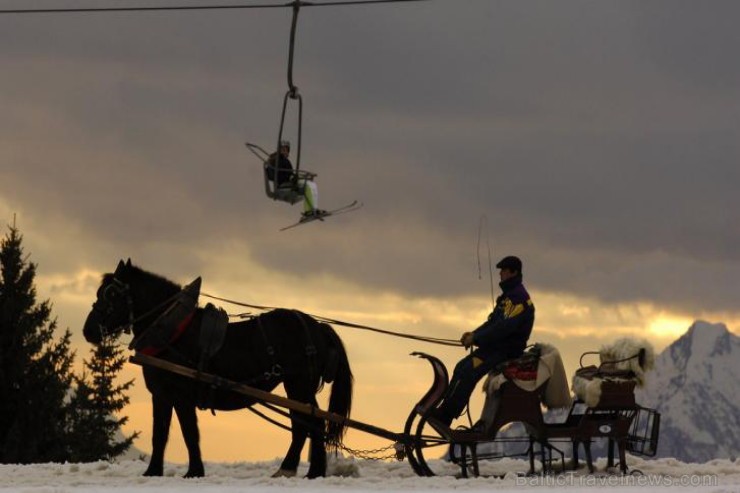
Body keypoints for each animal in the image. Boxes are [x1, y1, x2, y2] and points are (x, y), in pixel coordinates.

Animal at [82, 260, 354, 478]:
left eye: (112, 293)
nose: (88, 331)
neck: (172, 332)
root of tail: (318, 327)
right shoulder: (161, 395)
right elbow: (160, 433)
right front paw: (153, 472)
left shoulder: (182, 395)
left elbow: (189, 432)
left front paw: (194, 472)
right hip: (297, 387)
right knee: (306, 424)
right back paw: (305, 471)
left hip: (299, 385)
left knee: (310, 423)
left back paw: (301, 471)